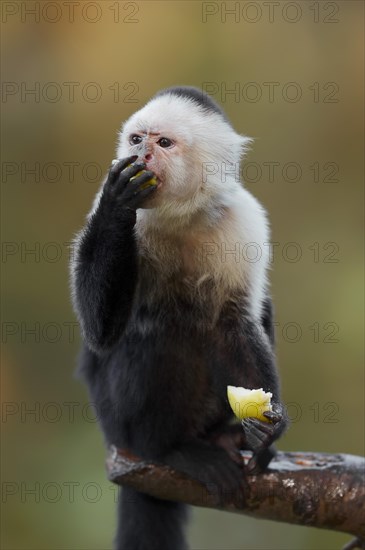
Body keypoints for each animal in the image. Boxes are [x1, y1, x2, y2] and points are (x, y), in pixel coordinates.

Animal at [70, 86, 288, 550]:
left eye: (164, 143)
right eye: (137, 140)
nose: (142, 155)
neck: (179, 216)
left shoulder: (244, 219)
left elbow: (235, 322)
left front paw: (266, 430)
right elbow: (101, 332)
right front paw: (119, 203)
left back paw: (225, 436)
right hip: (116, 425)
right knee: (156, 335)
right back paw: (169, 450)